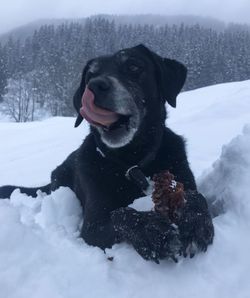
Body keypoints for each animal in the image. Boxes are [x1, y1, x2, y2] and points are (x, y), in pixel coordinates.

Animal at [0, 44, 214, 264]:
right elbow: (120, 214)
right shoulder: (92, 227)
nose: (95, 86)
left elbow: (196, 196)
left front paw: (195, 221)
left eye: (133, 66)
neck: (132, 161)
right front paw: (154, 232)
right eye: (90, 75)